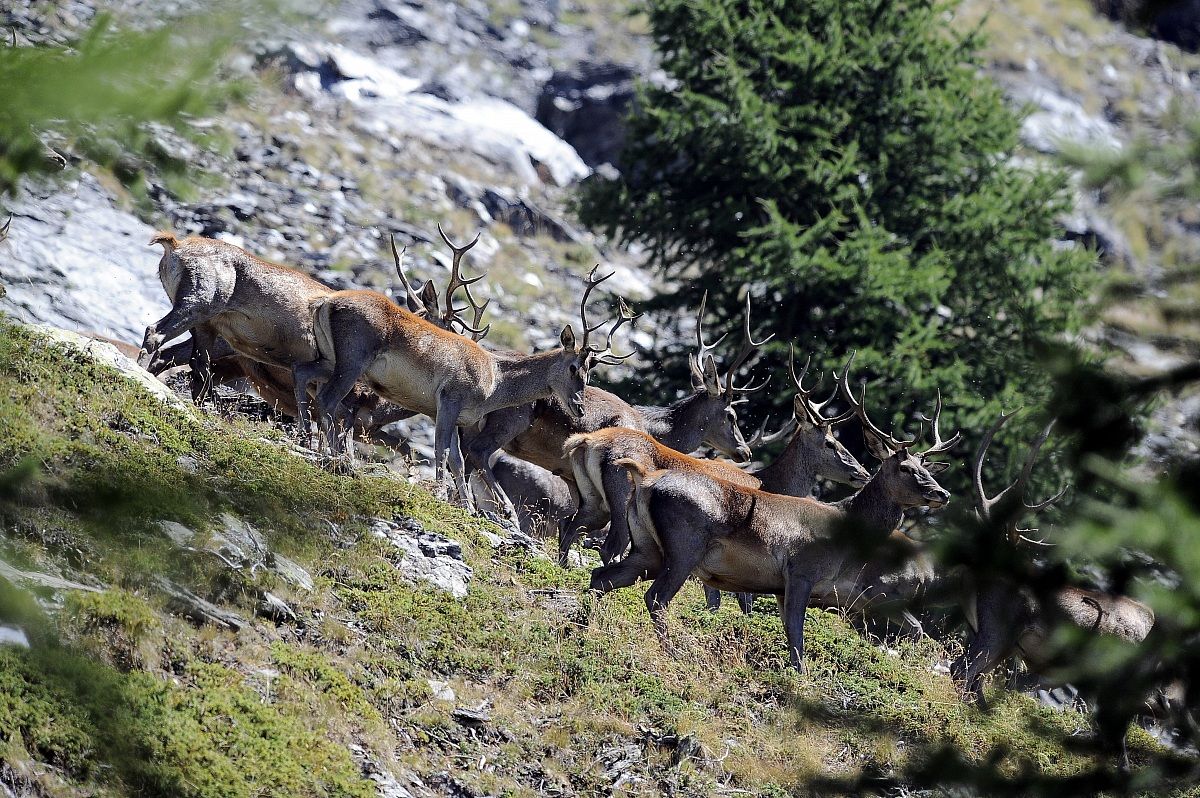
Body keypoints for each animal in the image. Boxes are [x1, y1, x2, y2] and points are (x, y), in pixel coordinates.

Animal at [300, 263, 624, 510]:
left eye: (590, 371)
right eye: (574, 367)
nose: (579, 408)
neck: (494, 381)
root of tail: (324, 303)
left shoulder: (458, 417)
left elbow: (456, 458)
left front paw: (466, 506)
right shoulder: (449, 399)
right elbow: (441, 450)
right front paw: (443, 495)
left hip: (330, 358)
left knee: (304, 372)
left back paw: (308, 441)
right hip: (352, 361)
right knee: (328, 400)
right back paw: (335, 457)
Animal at [588, 356, 958, 671]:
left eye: (926, 469)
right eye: (906, 468)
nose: (942, 494)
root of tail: (644, 478)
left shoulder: (787, 587)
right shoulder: (801, 571)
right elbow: (796, 638)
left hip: (647, 548)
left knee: (600, 576)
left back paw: (589, 626)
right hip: (684, 547)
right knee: (656, 598)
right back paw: (675, 654)